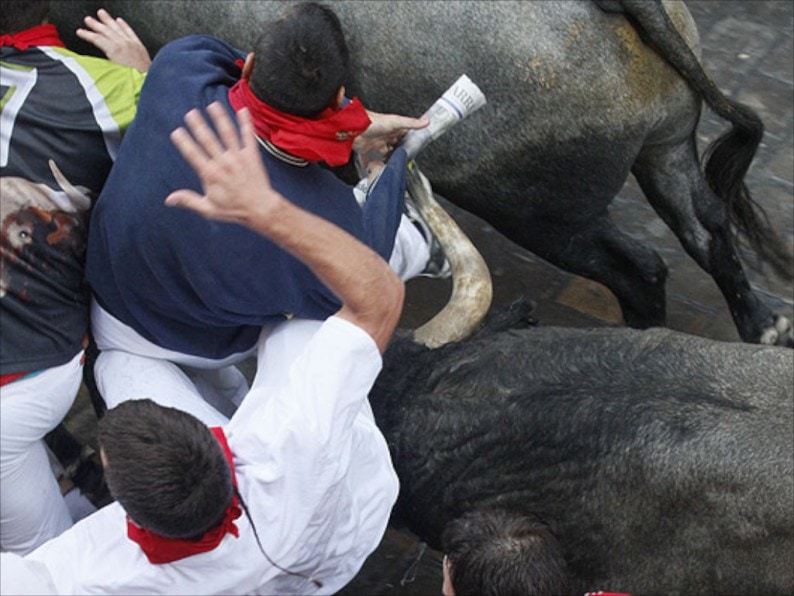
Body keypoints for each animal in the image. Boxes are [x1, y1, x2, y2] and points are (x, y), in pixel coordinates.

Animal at [51, 0, 792, 344]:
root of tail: (614, 8)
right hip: (666, 149)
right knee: (707, 228)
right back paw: (763, 326)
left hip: (542, 213)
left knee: (642, 267)